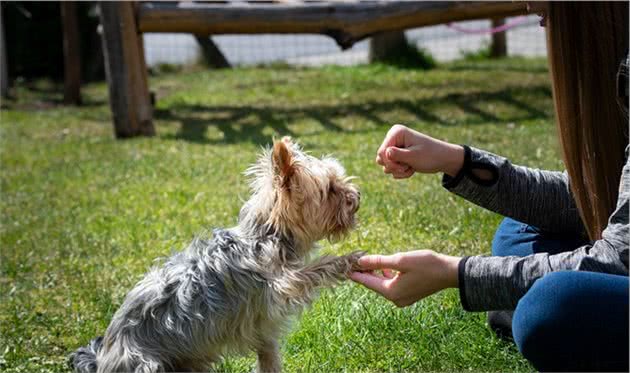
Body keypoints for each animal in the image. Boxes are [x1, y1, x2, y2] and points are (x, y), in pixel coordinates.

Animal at [71, 137, 362, 372]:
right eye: (330, 189)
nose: (357, 196)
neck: (267, 234)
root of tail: (102, 358)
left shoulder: (263, 327)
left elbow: (268, 355)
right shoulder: (280, 284)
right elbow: (315, 269)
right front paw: (348, 260)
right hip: (146, 364)